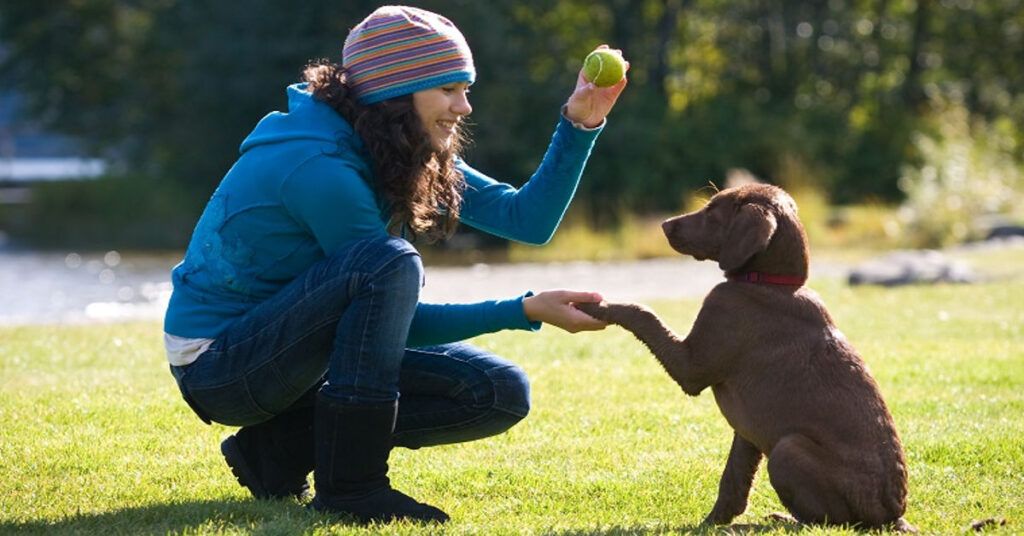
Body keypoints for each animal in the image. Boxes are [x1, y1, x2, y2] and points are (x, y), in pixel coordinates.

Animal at [581, 184, 917, 532]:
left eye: (712, 211)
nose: (664, 224)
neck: (770, 283)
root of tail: (893, 517)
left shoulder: (692, 367)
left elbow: (642, 312)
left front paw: (596, 305)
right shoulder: (747, 431)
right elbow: (733, 481)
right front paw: (713, 522)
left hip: (787, 449)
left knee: (828, 522)